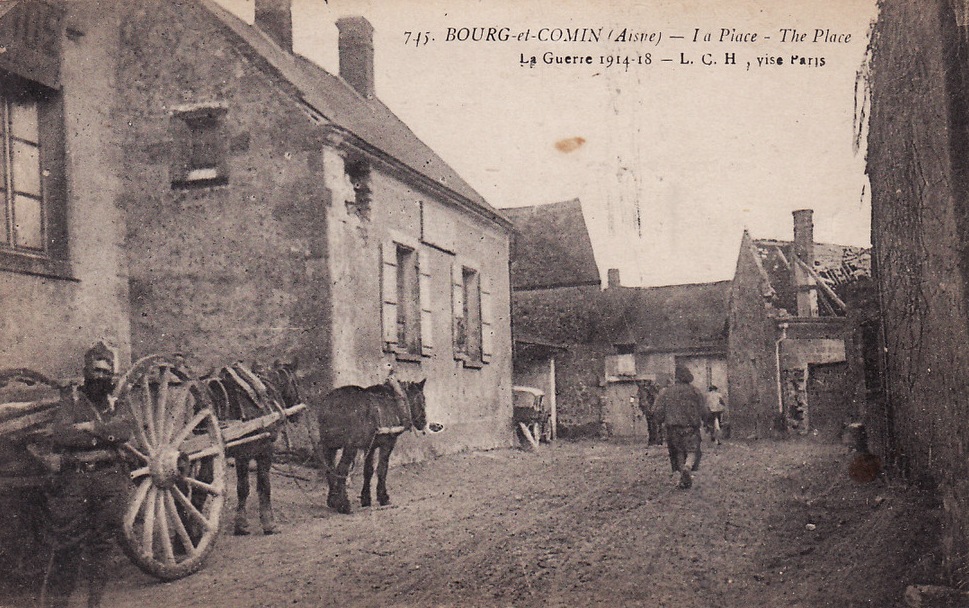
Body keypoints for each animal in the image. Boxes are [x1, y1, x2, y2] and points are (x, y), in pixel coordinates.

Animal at [206, 358, 304, 536]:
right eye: (296, 382)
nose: (298, 414)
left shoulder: (241, 455)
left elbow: (242, 488)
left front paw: (241, 524)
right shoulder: (263, 451)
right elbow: (264, 486)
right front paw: (269, 523)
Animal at [318, 378, 428, 516]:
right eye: (423, 400)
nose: (424, 422)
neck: (395, 402)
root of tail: (332, 404)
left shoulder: (370, 446)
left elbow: (368, 470)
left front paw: (366, 498)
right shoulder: (388, 443)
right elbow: (382, 469)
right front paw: (383, 497)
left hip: (328, 446)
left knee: (330, 469)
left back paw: (332, 500)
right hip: (350, 447)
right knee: (341, 471)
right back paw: (344, 505)